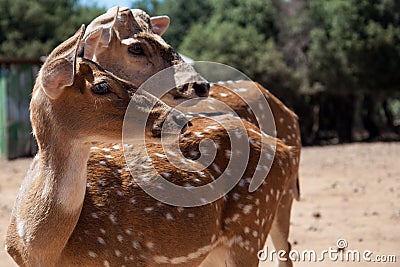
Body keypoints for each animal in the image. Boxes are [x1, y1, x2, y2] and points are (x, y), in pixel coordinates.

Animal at [3, 25, 296, 267]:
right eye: (101, 86)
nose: (181, 119)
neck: (44, 250)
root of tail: (282, 146)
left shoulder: (125, 258)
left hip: (251, 226)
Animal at [85, 5, 304, 266]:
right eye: (135, 47)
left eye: (162, 37)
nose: (200, 85)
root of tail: (291, 113)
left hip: (285, 194)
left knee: (285, 248)